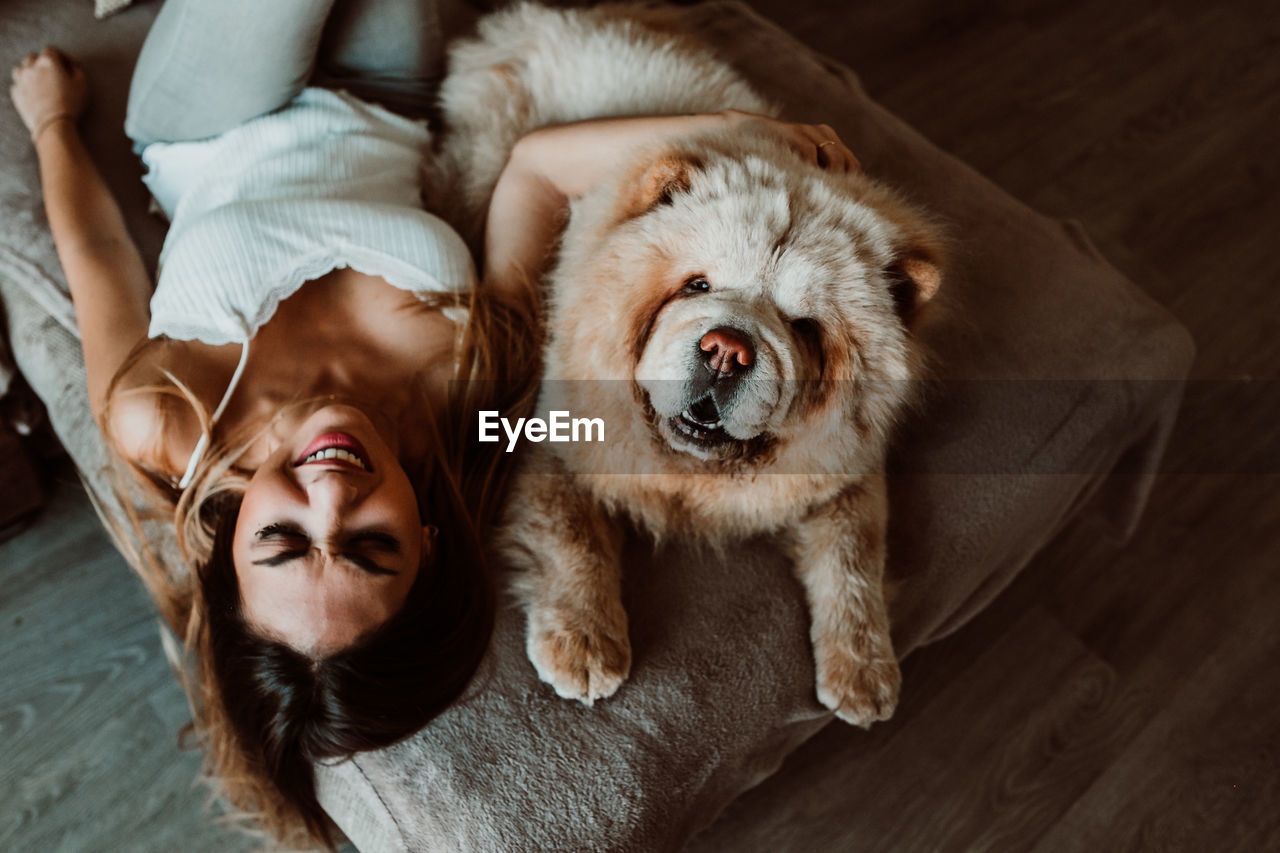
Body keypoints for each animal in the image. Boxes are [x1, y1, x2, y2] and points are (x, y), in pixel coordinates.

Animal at [435, 4, 947, 722]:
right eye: (697, 285)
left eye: (804, 328)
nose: (727, 350)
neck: (690, 478)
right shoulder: (549, 437)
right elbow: (569, 535)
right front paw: (584, 645)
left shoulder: (843, 467)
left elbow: (853, 556)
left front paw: (864, 674)